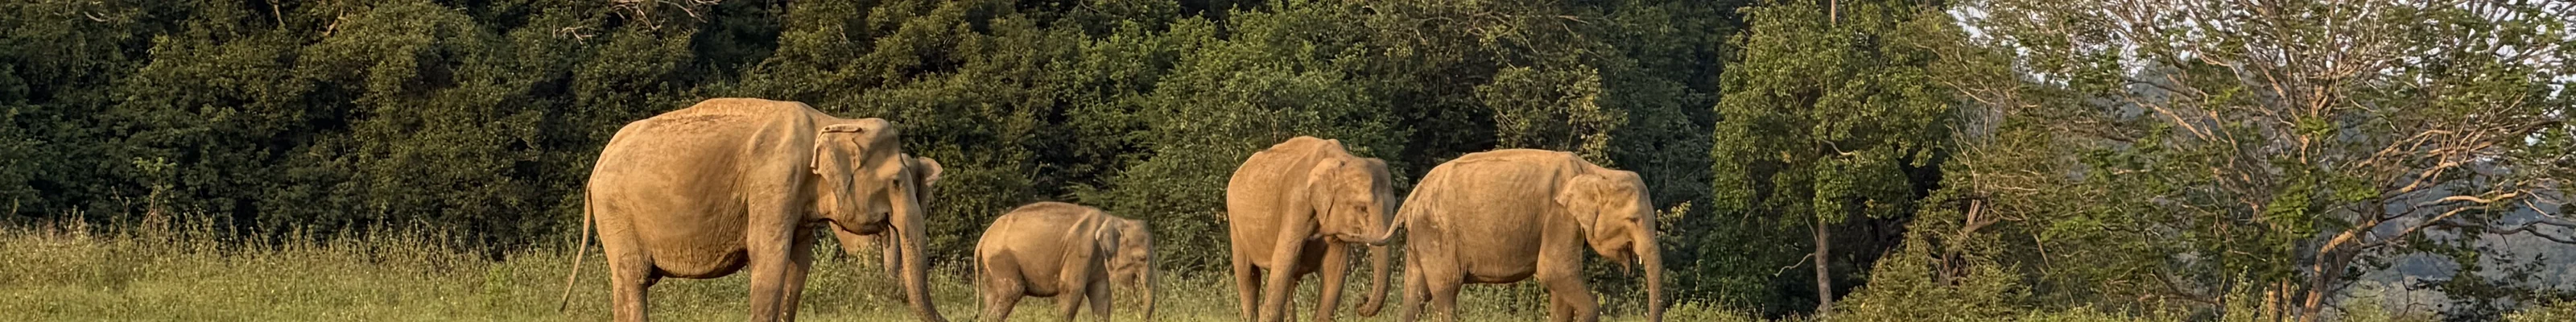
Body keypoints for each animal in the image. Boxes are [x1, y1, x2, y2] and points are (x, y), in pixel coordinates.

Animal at [559, 98, 950, 322]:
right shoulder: (774, 181)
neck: (831, 121)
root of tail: (597, 167)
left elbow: (797, 263)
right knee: (634, 278)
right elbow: (769, 255)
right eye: (897, 183)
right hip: (616, 211)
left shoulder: (796, 199)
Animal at [970, 202, 1158, 322]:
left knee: (991, 296)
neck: (1113, 219)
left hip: (991, 266)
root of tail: (984, 238)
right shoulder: (1080, 250)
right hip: (1002, 259)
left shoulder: (1097, 262)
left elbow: (1102, 294)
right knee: (1013, 290)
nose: (1139, 316)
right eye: (1142, 258)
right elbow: (1073, 289)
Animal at [1224, 136, 1400, 322]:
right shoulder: (1296, 202)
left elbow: (1336, 266)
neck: (1342, 159)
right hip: (1235, 223)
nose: (1361, 301)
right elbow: (1285, 256)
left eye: (1393, 207)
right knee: (1248, 276)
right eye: (1362, 208)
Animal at [1388, 149, 1663, 322]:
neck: (1596, 172)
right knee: (1446, 292)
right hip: (1437, 234)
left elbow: (1560, 287)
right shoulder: (1559, 216)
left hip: (1421, 238)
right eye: (1634, 219)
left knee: (1415, 295)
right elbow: (1554, 270)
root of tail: (1412, 198)